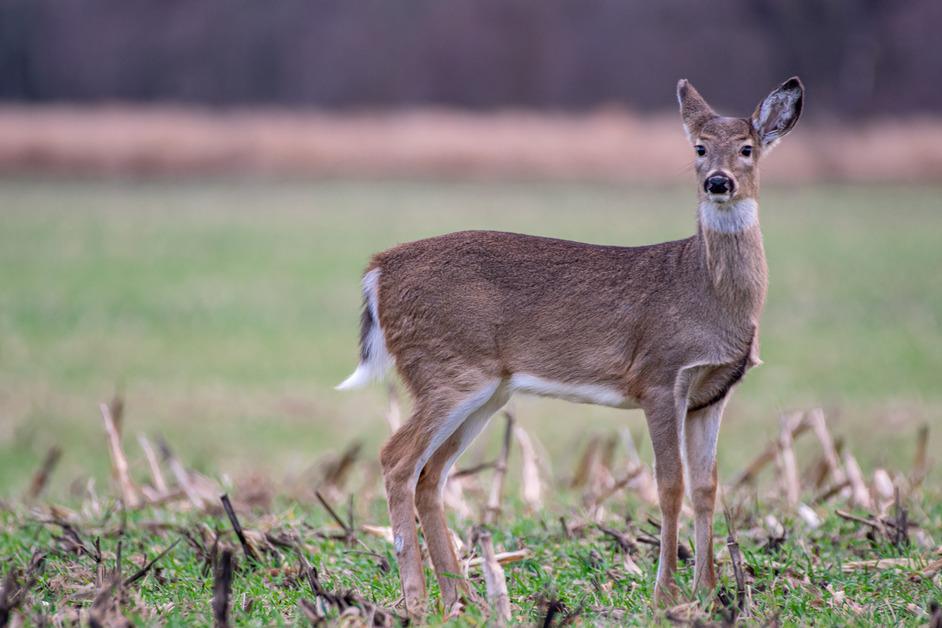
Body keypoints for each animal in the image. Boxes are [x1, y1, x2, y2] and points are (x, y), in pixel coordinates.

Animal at [338, 77, 804, 620]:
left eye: (747, 148)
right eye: (699, 148)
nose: (718, 183)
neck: (708, 291)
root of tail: (378, 270)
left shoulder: (711, 393)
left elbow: (707, 486)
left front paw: (708, 592)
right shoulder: (659, 377)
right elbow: (669, 485)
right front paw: (666, 594)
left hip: (485, 390)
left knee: (430, 474)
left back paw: (463, 598)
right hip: (445, 369)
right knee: (396, 458)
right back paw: (416, 600)